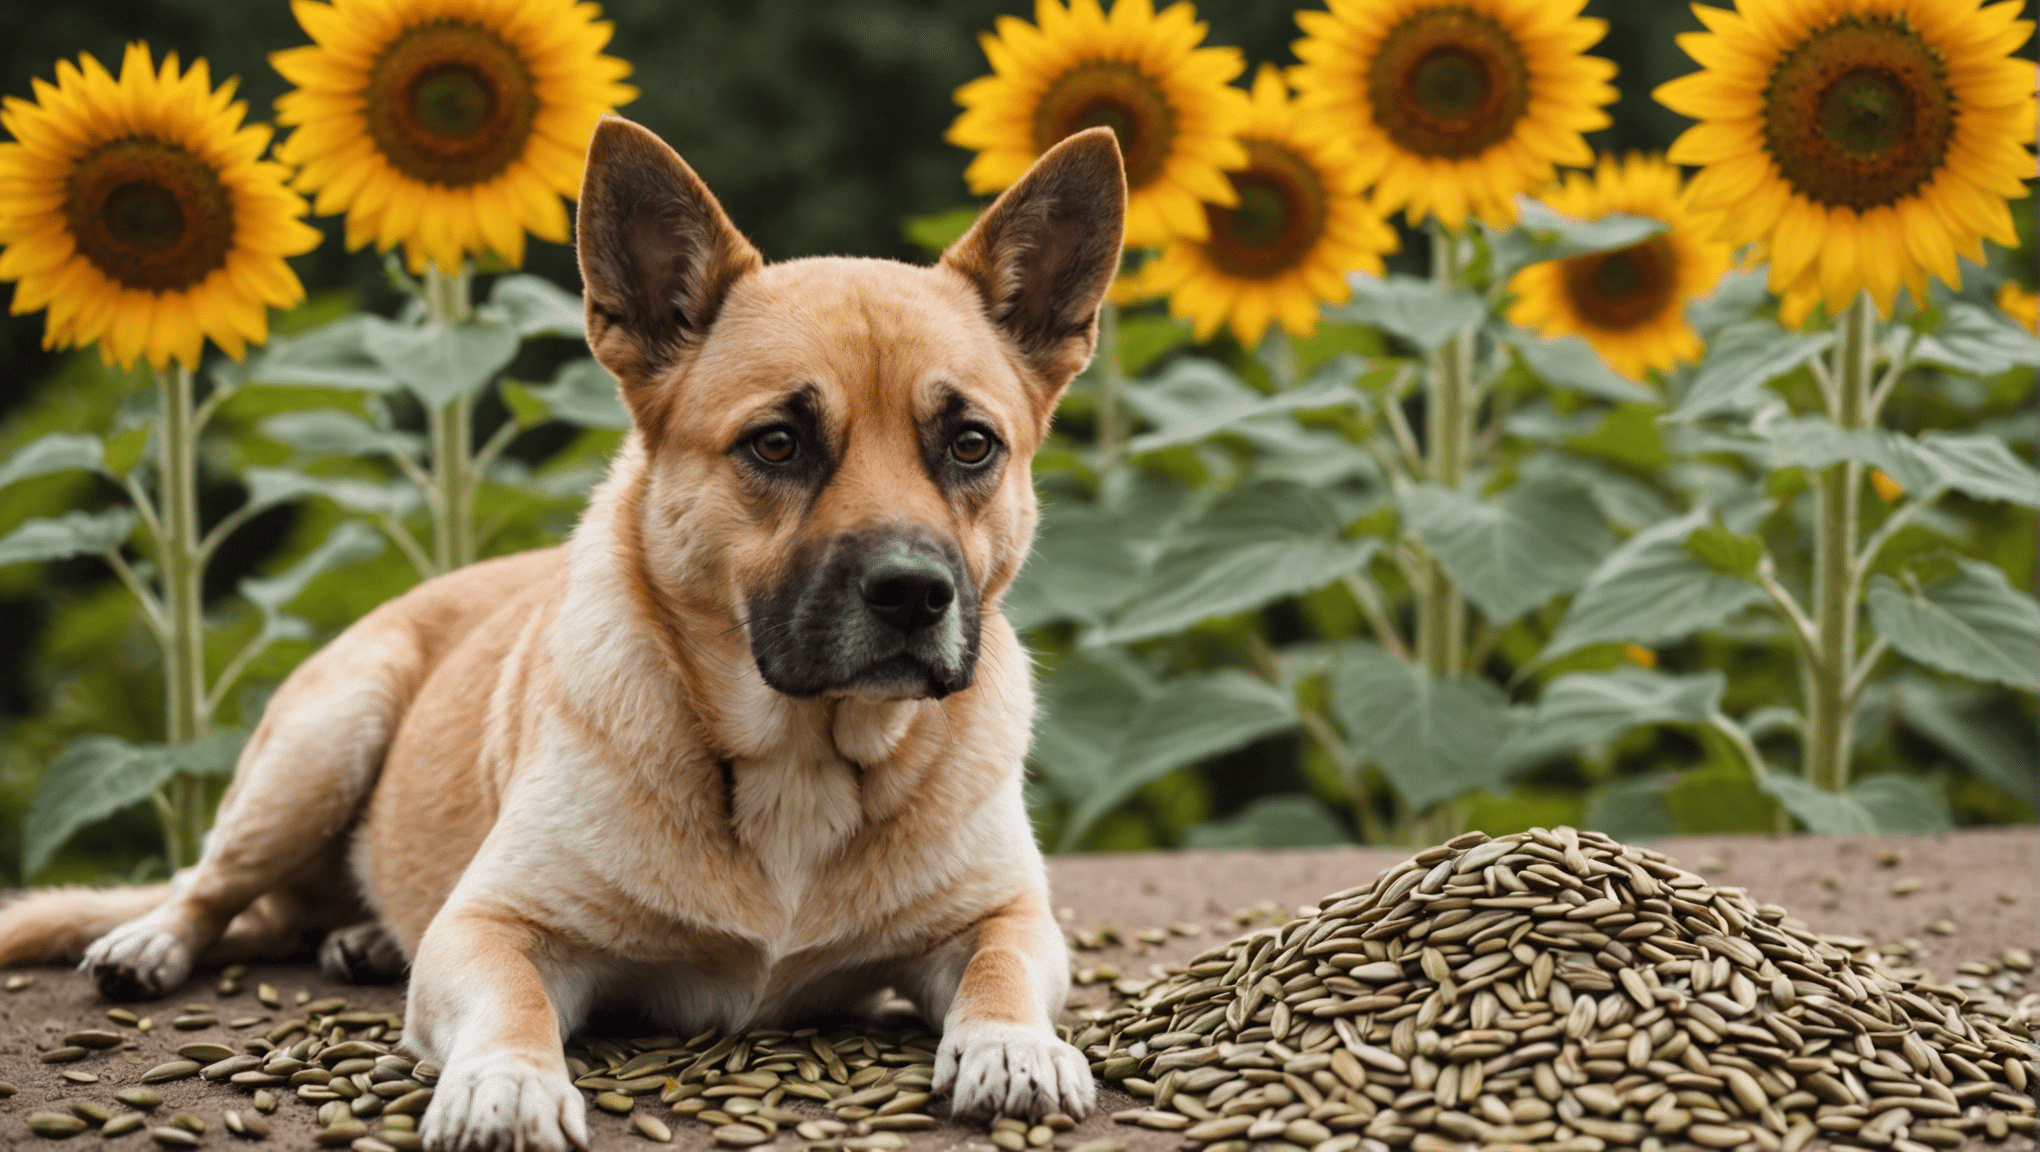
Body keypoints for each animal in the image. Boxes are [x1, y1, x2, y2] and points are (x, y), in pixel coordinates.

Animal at [0, 116, 1126, 1149]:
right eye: (778, 443)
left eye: (971, 444)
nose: (913, 594)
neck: (798, 758)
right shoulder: (492, 927)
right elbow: (514, 1003)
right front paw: (507, 1081)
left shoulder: (1007, 919)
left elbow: (999, 970)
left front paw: (1013, 1046)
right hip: (319, 752)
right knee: (205, 888)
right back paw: (150, 943)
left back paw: (360, 937)